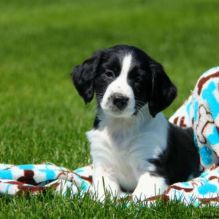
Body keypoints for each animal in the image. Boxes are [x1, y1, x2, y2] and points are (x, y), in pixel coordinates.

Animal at [72, 44, 200, 200]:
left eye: (138, 80)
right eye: (108, 74)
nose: (119, 99)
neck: (121, 127)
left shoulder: (153, 171)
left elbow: (139, 198)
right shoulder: (103, 166)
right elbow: (105, 194)